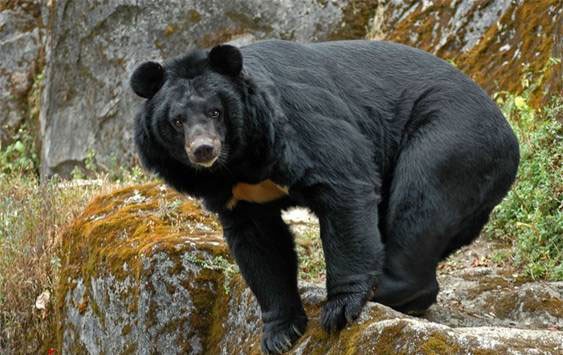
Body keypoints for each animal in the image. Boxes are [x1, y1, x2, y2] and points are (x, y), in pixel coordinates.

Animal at [131, 40, 520, 354]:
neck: (238, 164)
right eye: (177, 121)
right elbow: (259, 245)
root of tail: (509, 134)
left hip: (452, 140)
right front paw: (280, 333)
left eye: (216, 111)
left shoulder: (298, 128)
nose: (203, 149)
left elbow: (343, 186)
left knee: (420, 203)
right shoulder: (240, 197)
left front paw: (339, 309)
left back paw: (388, 289)